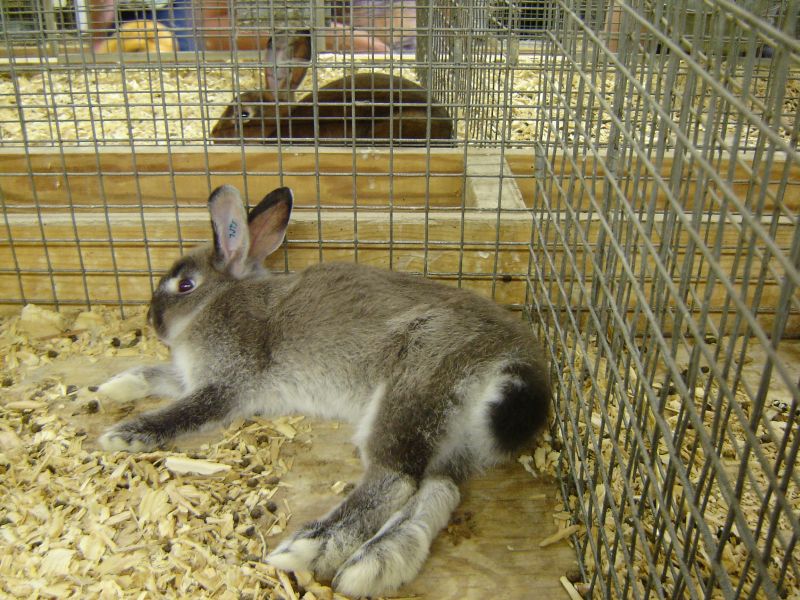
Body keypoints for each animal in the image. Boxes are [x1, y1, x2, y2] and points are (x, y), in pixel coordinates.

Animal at [97, 185, 552, 596]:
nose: (153, 321)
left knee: (396, 478)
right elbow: (155, 375)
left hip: (413, 389)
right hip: (451, 431)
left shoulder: (225, 384)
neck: (217, 301)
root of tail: (516, 362)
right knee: (438, 487)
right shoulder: (190, 376)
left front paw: (123, 435)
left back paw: (311, 548)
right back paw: (377, 564)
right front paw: (111, 388)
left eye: (185, 286)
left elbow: (181, 411)